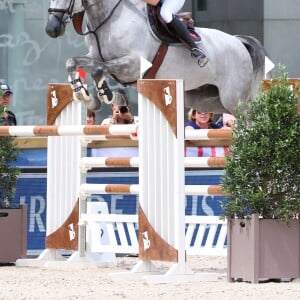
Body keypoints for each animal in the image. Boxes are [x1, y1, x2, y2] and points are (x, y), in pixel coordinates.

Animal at [45, 0, 268, 113]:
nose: (51, 29)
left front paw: (108, 95)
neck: (107, 20)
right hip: (207, 101)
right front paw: (88, 98)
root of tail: (238, 42)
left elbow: (99, 70)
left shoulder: (134, 64)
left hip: (235, 100)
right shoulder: (96, 57)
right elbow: (73, 63)